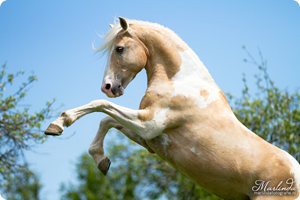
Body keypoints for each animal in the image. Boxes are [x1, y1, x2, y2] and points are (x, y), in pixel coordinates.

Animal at [45, 17, 298, 200]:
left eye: (119, 49)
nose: (107, 87)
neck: (180, 81)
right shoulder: (149, 137)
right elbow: (106, 120)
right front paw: (101, 161)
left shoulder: (148, 124)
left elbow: (100, 105)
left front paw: (58, 124)